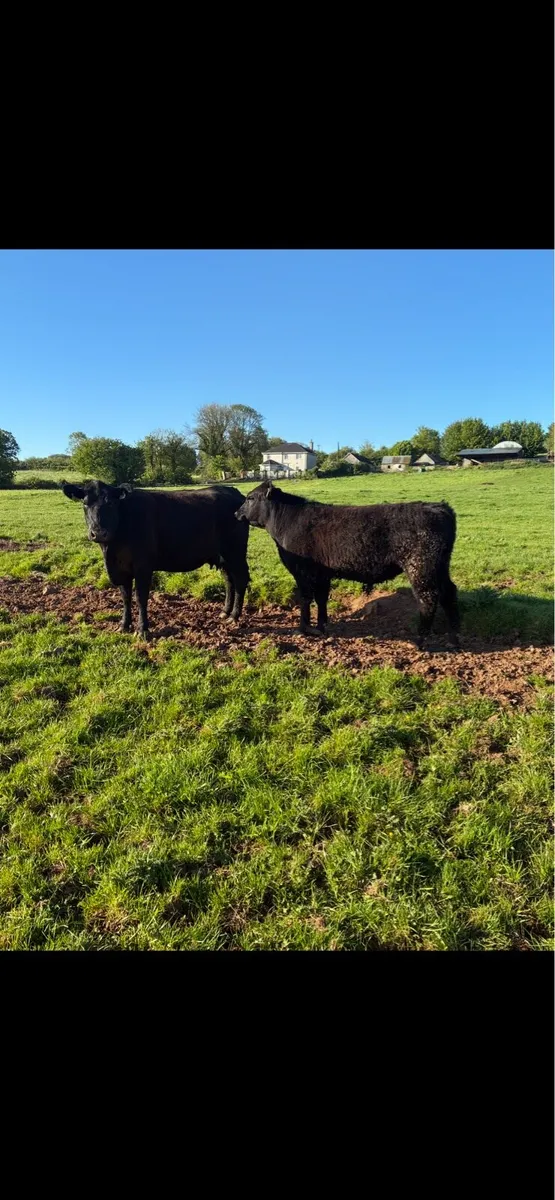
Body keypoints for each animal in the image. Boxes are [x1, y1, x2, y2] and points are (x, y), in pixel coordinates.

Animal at [61, 479, 250, 637]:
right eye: (85, 503)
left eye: (112, 503)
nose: (99, 532)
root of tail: (232, 491)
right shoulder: (121, 569)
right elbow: (125, 597)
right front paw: (124, 625)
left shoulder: (143, 566)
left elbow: (140, 597)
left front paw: (143, 630)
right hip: (223, 557)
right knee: (229, 581)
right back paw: (225, 611)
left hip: (235, 553)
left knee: (240, 580)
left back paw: (234, 616)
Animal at [235, 481, 460, 648]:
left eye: (250, 498)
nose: (236, 513)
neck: (287, 521)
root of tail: (439, 507)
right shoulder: (322, 574)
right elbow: (321, 599)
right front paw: (322, 626)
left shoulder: (303, 573)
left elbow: (306, 599)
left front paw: (303, 629)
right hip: (440, 566)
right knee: (449, 593)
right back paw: (453, 637)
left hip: (420, 567)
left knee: (427, 598)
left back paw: (419, 641)